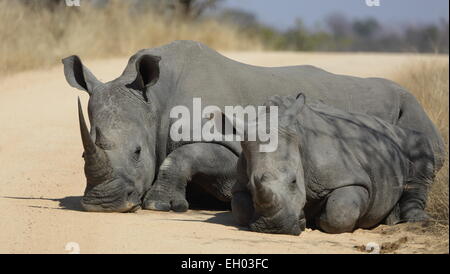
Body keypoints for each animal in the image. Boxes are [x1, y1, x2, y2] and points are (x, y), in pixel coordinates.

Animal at [61, 39, 444, 213]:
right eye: (81, 156)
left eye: (138, 153)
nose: (103, 203)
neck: (154, 101)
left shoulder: (233, 144)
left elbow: (183, 157)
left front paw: (160, 205)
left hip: (411, 109)